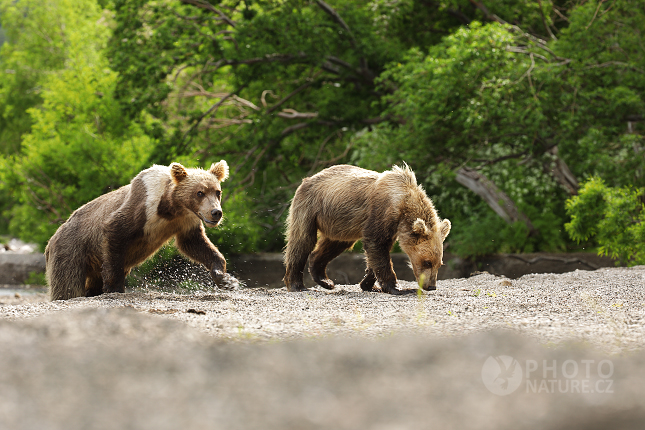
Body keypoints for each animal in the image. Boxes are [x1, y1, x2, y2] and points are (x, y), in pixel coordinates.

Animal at [46, 160, 236, 298]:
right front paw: (114, 287)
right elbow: (116, 230)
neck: (170, 209)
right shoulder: (143, 207)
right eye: (199, 193)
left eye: (217, 192)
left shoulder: (186, 222)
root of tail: (52, 238)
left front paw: (225, 278)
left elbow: (196, 245)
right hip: (71, 249)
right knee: (68, 283)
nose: (216, 212)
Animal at [284, 163, 450, 294]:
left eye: (439, 263)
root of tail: (309, 178)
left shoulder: (392, 226)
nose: (431, 286)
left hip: (341, 222)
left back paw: (325, 280)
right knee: (302, 240)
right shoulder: (382, 212)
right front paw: (399, 288)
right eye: (427, 262)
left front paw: (369, 284)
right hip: (309, 207)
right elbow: (376, 244)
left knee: (335, 244)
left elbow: (377, 251)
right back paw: (297, 284)